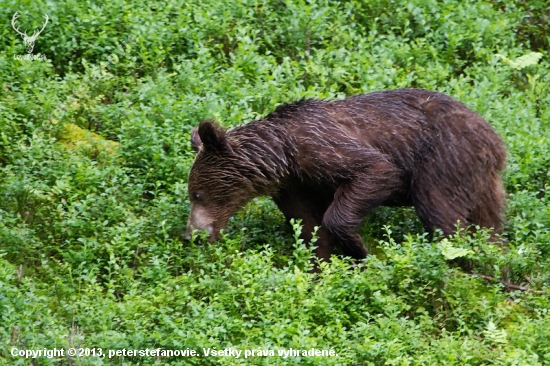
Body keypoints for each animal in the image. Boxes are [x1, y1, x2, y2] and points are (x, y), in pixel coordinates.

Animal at [185, 88, 508, 260]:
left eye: (197, 194)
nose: (191, 235)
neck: (282, 156)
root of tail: (495, 140)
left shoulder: (320, 146)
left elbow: (374, 170)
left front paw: (359, 248)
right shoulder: (294, 187)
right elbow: (309, 226)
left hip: (444, 159)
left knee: (441, 214)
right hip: (480, 181)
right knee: (491, 226)